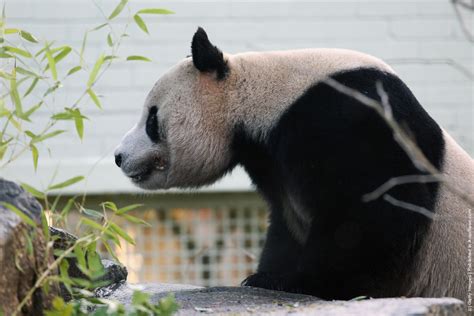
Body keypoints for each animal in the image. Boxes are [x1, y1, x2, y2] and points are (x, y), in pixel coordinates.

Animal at [115, 27, 474, 302]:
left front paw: (309, 283)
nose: (119, 156)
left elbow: (376, 214)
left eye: (152, 119)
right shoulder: (275, 166)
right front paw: (266, 276)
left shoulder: (354, 120)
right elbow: (285, 227)